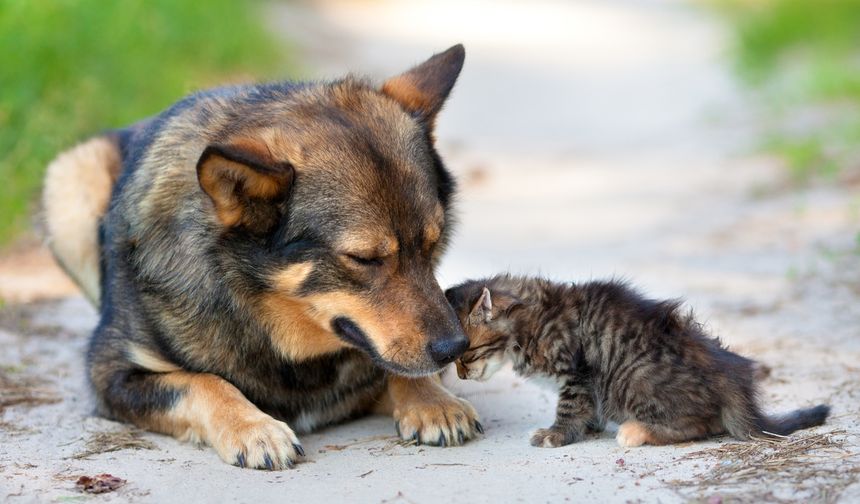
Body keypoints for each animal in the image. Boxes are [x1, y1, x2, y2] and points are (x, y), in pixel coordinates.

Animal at [42, 45, 484, 470]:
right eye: (363, 259)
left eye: (433, 243)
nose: (454, 347)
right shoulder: (112, 374)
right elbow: (201, 382)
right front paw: (253, 428)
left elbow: (396, 368)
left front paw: (433, 401)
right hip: (70, 178)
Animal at [444, 276, 828, 448]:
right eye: (453, 361)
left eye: (466, 355)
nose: (461, 377)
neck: (531, 320)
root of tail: (733, 378)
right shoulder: (585, 382)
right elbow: (588, 408)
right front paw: (590, 427)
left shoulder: (576, 373)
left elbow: (569, 408)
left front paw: (555, 434)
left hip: (634, 378)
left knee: (702, 424)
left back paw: (636, 431)